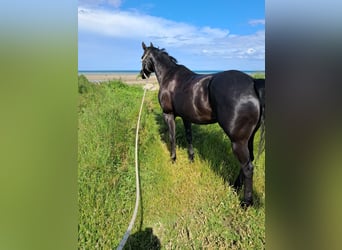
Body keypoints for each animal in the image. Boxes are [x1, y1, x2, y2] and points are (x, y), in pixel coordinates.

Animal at [139, 42, 264, 206]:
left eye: (142, 57)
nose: (142, 74)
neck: (169, 76)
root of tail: (252, 83)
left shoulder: (168, 115)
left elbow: (172, 137)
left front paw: (173, 158)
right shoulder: (186, 117)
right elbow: (189, 137)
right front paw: (191, 158)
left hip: (238, 141)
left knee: (247, 167)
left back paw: (246, 202)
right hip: (249, 138)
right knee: (249, 161)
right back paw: (235, 186)